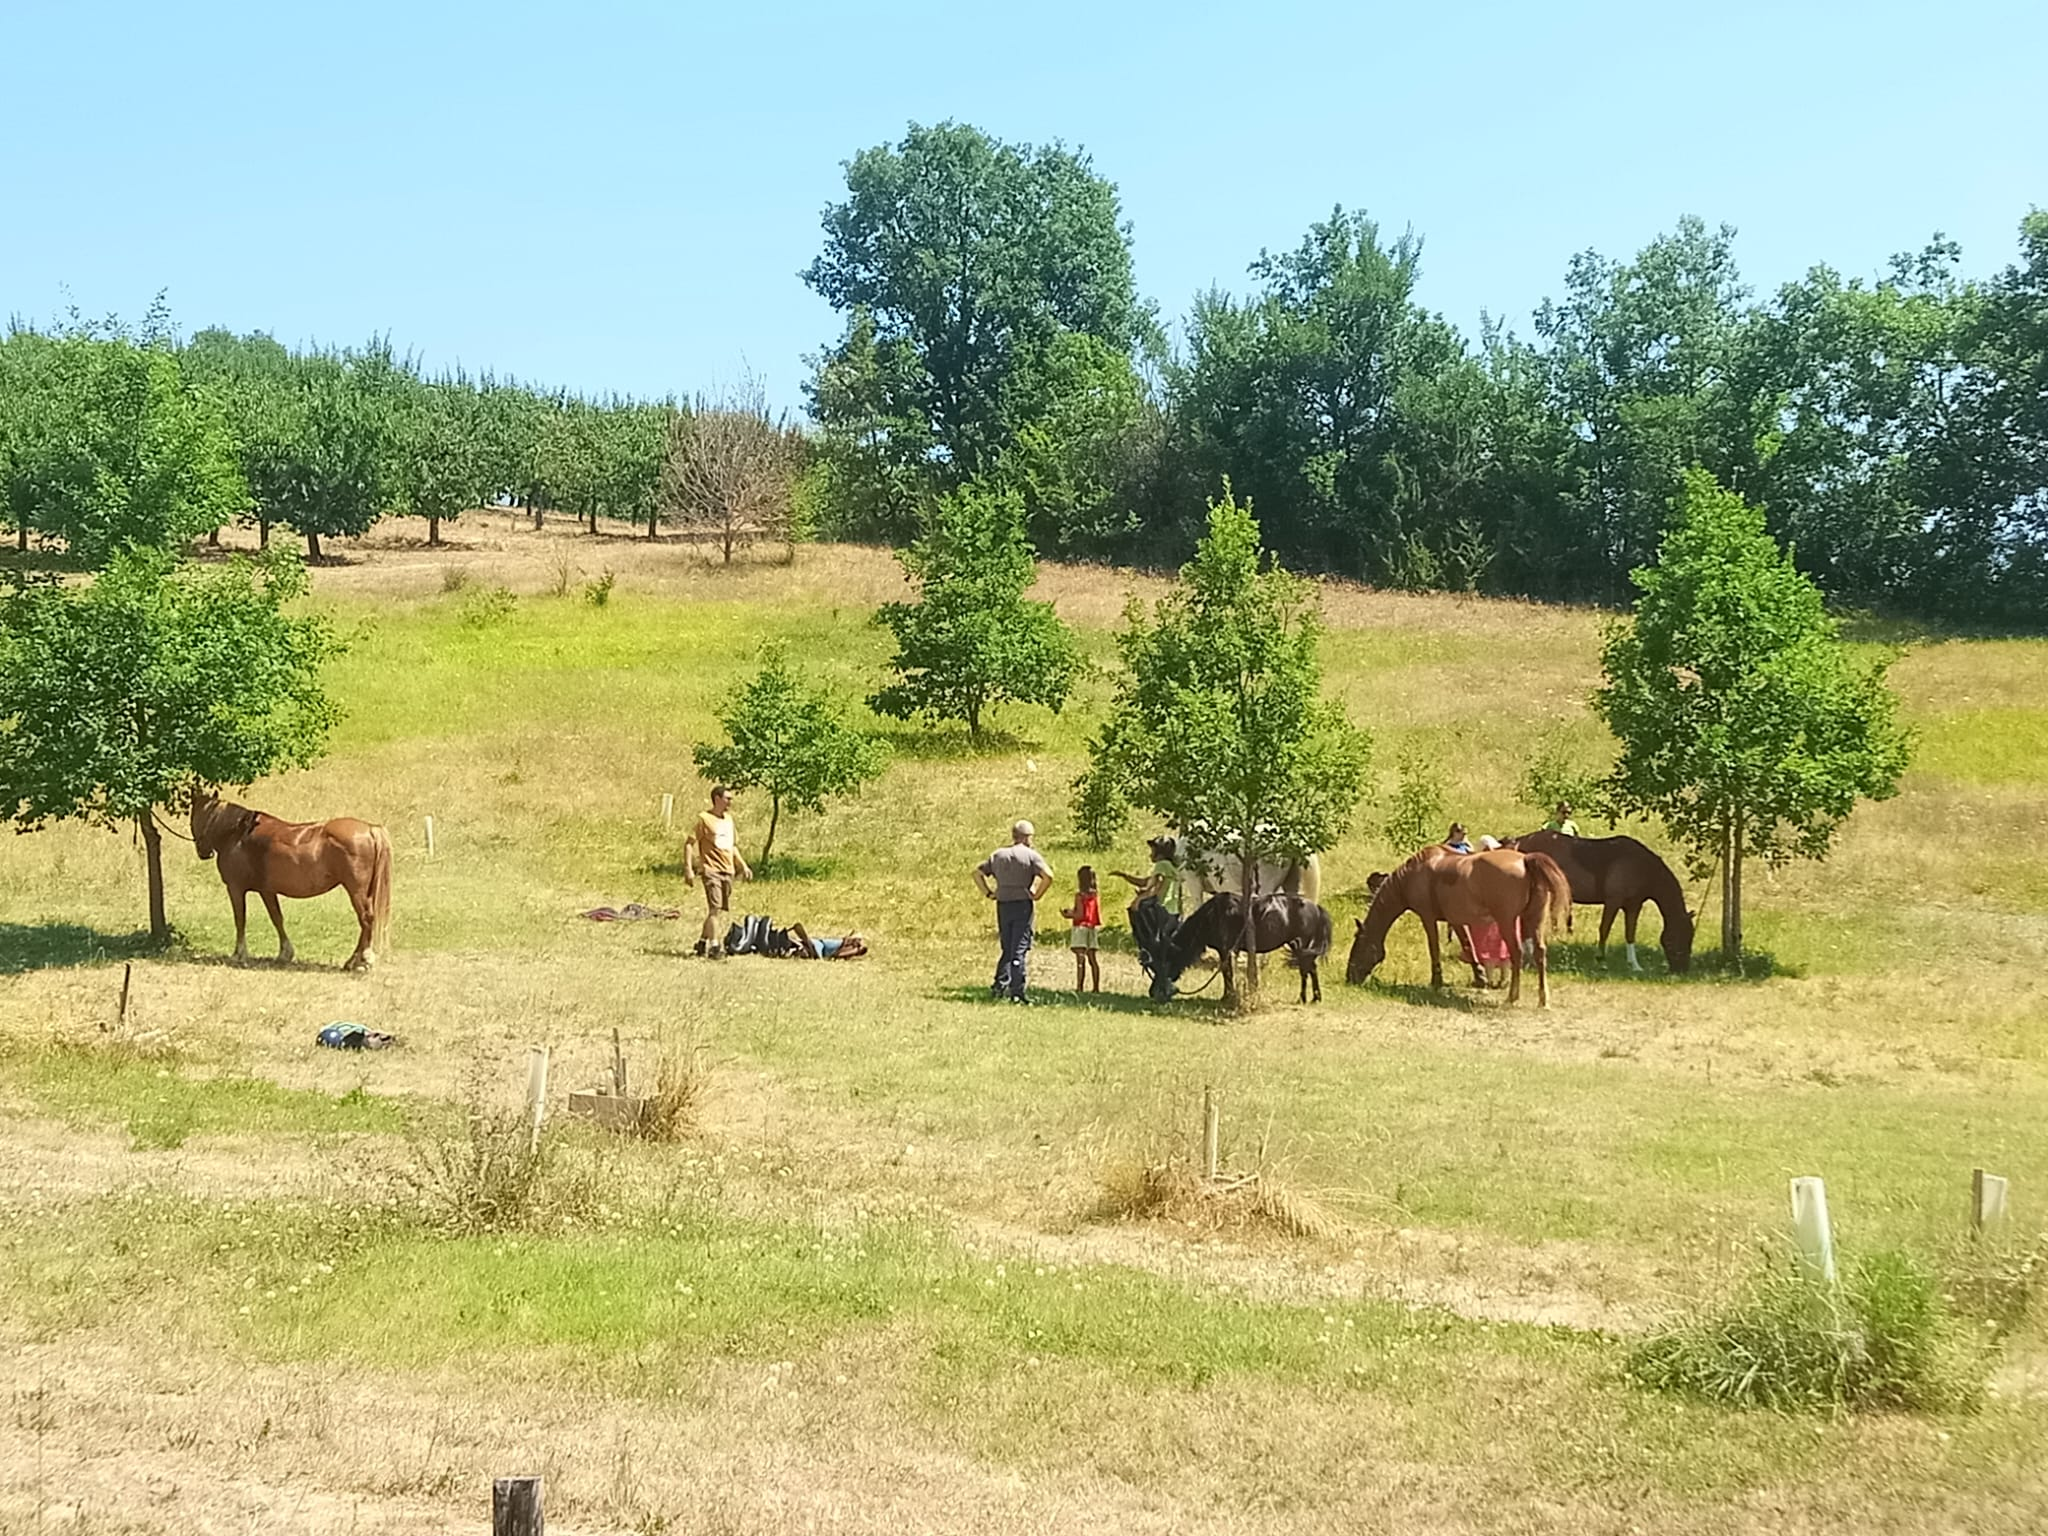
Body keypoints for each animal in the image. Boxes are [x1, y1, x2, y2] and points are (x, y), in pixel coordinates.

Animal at [190, 791, 393, 970]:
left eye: (194, 816)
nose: (202, 852)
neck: (238, 834)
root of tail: (370, 828)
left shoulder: (235, 888)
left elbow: (240, 919)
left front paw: (239, 954)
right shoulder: (267, 891)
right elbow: (277, 918)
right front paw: (285, 953)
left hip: (356, 891)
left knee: (366, 919)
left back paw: (361, 960)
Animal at [1141, 892, 1333, 1005]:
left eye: (1162, 964)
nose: (1152, 992)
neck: (1211, 916)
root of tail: (1317, 907)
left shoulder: (1225, 949)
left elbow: (1227, 972)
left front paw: (1227, 996)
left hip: (1302, 944)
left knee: (1306, 969)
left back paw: (1304, 998)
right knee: (1310, 968)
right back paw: (1314, 997)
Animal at [1346, 846, 1571, 1007]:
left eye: (1358, 948)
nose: (1350, 978)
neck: (1413, 875)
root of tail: (1525, 860)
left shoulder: (1428, 918)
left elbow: (1434, 949)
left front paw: (1436, 981)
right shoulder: (1456, 921)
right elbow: (1469, 947)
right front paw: (1480, 978)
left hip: (1507, 921)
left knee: (1516, 953)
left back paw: (1512, 997)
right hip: (1534, 920)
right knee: (1540, 953)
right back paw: (1543, 1000)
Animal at [1508, 830, 1694, 974]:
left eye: (1691, 936)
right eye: (1680, 935)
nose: (1682, 969)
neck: (1640, 866)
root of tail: (1520, 841)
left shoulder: (1633, 906)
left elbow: (1630, 933)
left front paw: (1634, 965)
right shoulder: (1613, 901)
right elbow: (1604, 929)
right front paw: (1601, 960)